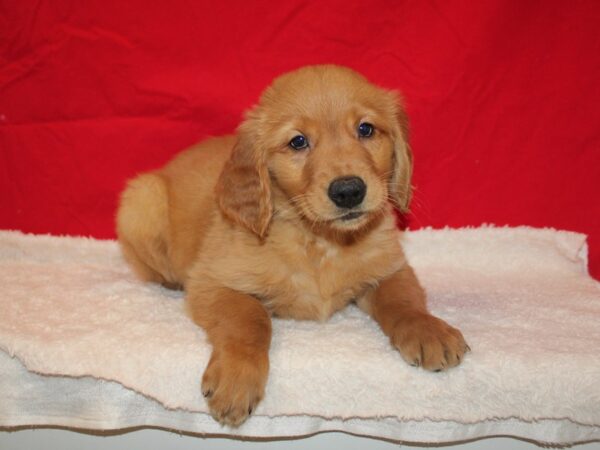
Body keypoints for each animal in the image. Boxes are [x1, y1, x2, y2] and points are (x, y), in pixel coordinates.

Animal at [116, 63, 468, 426]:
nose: (349, 191)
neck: (320, 241)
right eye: (298, 141)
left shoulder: (389, 266)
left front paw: (429, 330)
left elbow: (403, 300)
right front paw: (236, 378)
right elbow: (250, 319)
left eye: (366, 129)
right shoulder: (211, 281)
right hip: (142, 199)